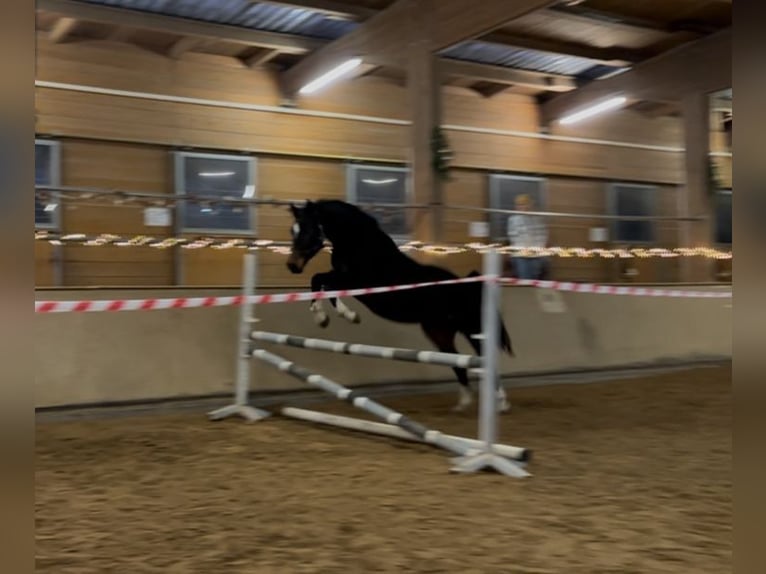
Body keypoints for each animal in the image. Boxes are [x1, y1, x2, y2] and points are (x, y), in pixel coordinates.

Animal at [285, 199, 514, 413]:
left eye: (308, 229)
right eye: (292, 230)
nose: (292, 266)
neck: (361, 244)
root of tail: (468, 285)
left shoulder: (354, 281)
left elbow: (321, 281)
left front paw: (336, 316)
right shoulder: (347, 281)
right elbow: (320, 283)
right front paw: (328, 317)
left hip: (471, 329)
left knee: (484, 359)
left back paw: (501, 403)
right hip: (440, 332)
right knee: (457, 361)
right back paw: (463, 403)